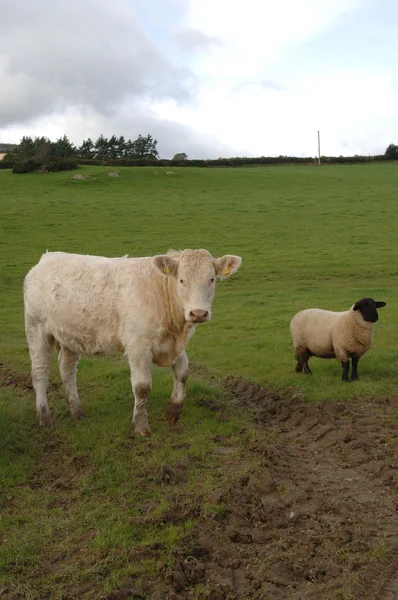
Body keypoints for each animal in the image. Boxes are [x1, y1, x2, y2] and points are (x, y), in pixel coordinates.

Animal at [24, 248, 243, 436]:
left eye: (211, 279)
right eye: (182, 280)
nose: (198, 313)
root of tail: (46, 258)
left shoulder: (176, 346)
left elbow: (182, 374)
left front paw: (173, 412)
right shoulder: (138, 345)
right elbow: (142, 387)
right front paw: (140, 426)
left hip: (70, 334)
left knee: (67, 369)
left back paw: (76, 411)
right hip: (36, 328)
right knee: (40, 372)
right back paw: (45, 418)